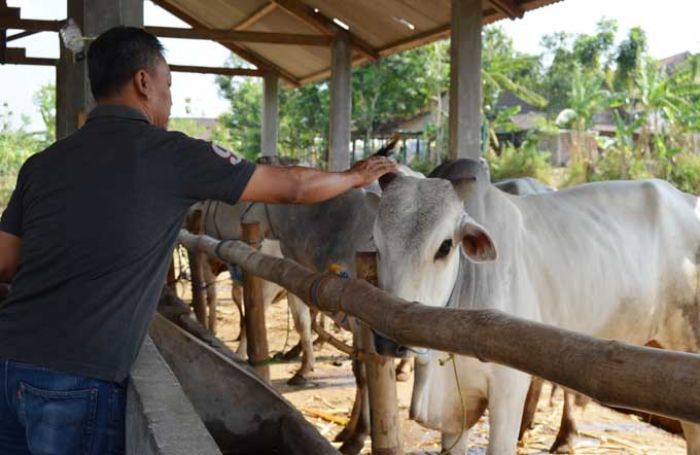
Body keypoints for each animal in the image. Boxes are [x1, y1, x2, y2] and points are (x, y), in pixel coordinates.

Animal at [374, 159, 700, 454]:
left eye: (444, 246)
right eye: (376, 246)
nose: (388, 340)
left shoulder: (508, 389)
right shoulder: (455, 408)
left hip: (688, 340)